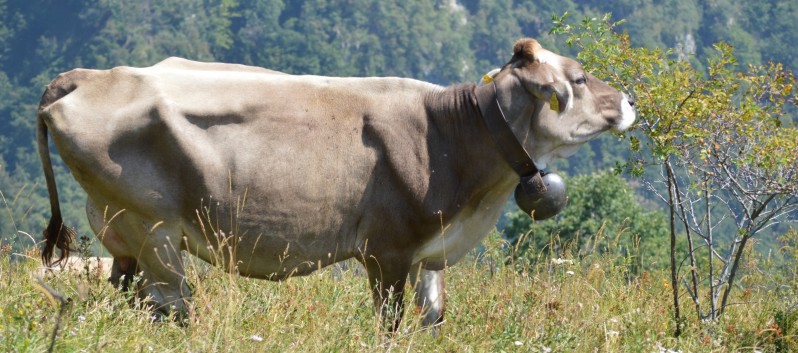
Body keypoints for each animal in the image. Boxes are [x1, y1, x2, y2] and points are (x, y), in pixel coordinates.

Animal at [37, 38, 636, 330]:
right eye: (579, 78)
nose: (630, 101)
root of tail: (88, 76)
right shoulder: (387, 252)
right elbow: (390, 326)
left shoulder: (430, 254)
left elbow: (432, 321)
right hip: (153, 228)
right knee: (169, 308)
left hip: (121, 232)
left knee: (129, 296)